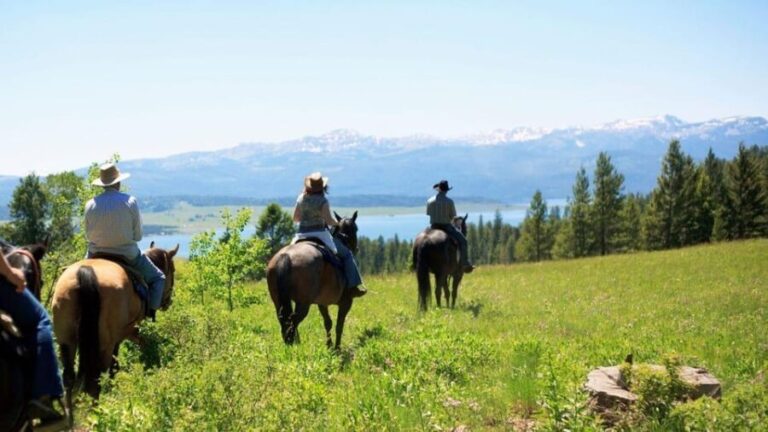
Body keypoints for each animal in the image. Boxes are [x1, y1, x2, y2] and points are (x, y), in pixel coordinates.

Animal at [51, 242, 179, 405]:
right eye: (173, 270)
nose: (168, 302)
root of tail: (85, 273)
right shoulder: (124, 333)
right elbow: (116, 364)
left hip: (66, 340)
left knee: (69, 377)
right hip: (105, 344)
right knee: (97, 377)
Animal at [267, 211, 359, 349]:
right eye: (355, 229)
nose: (356, 249)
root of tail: (285, 256)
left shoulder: (322, 303)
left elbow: (328, 322)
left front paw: (329, 345)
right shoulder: (346, 302)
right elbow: (339, 325)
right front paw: (337, 348)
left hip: (278, 301)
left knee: (284, 320)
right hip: (303, 303)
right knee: (293, 321)